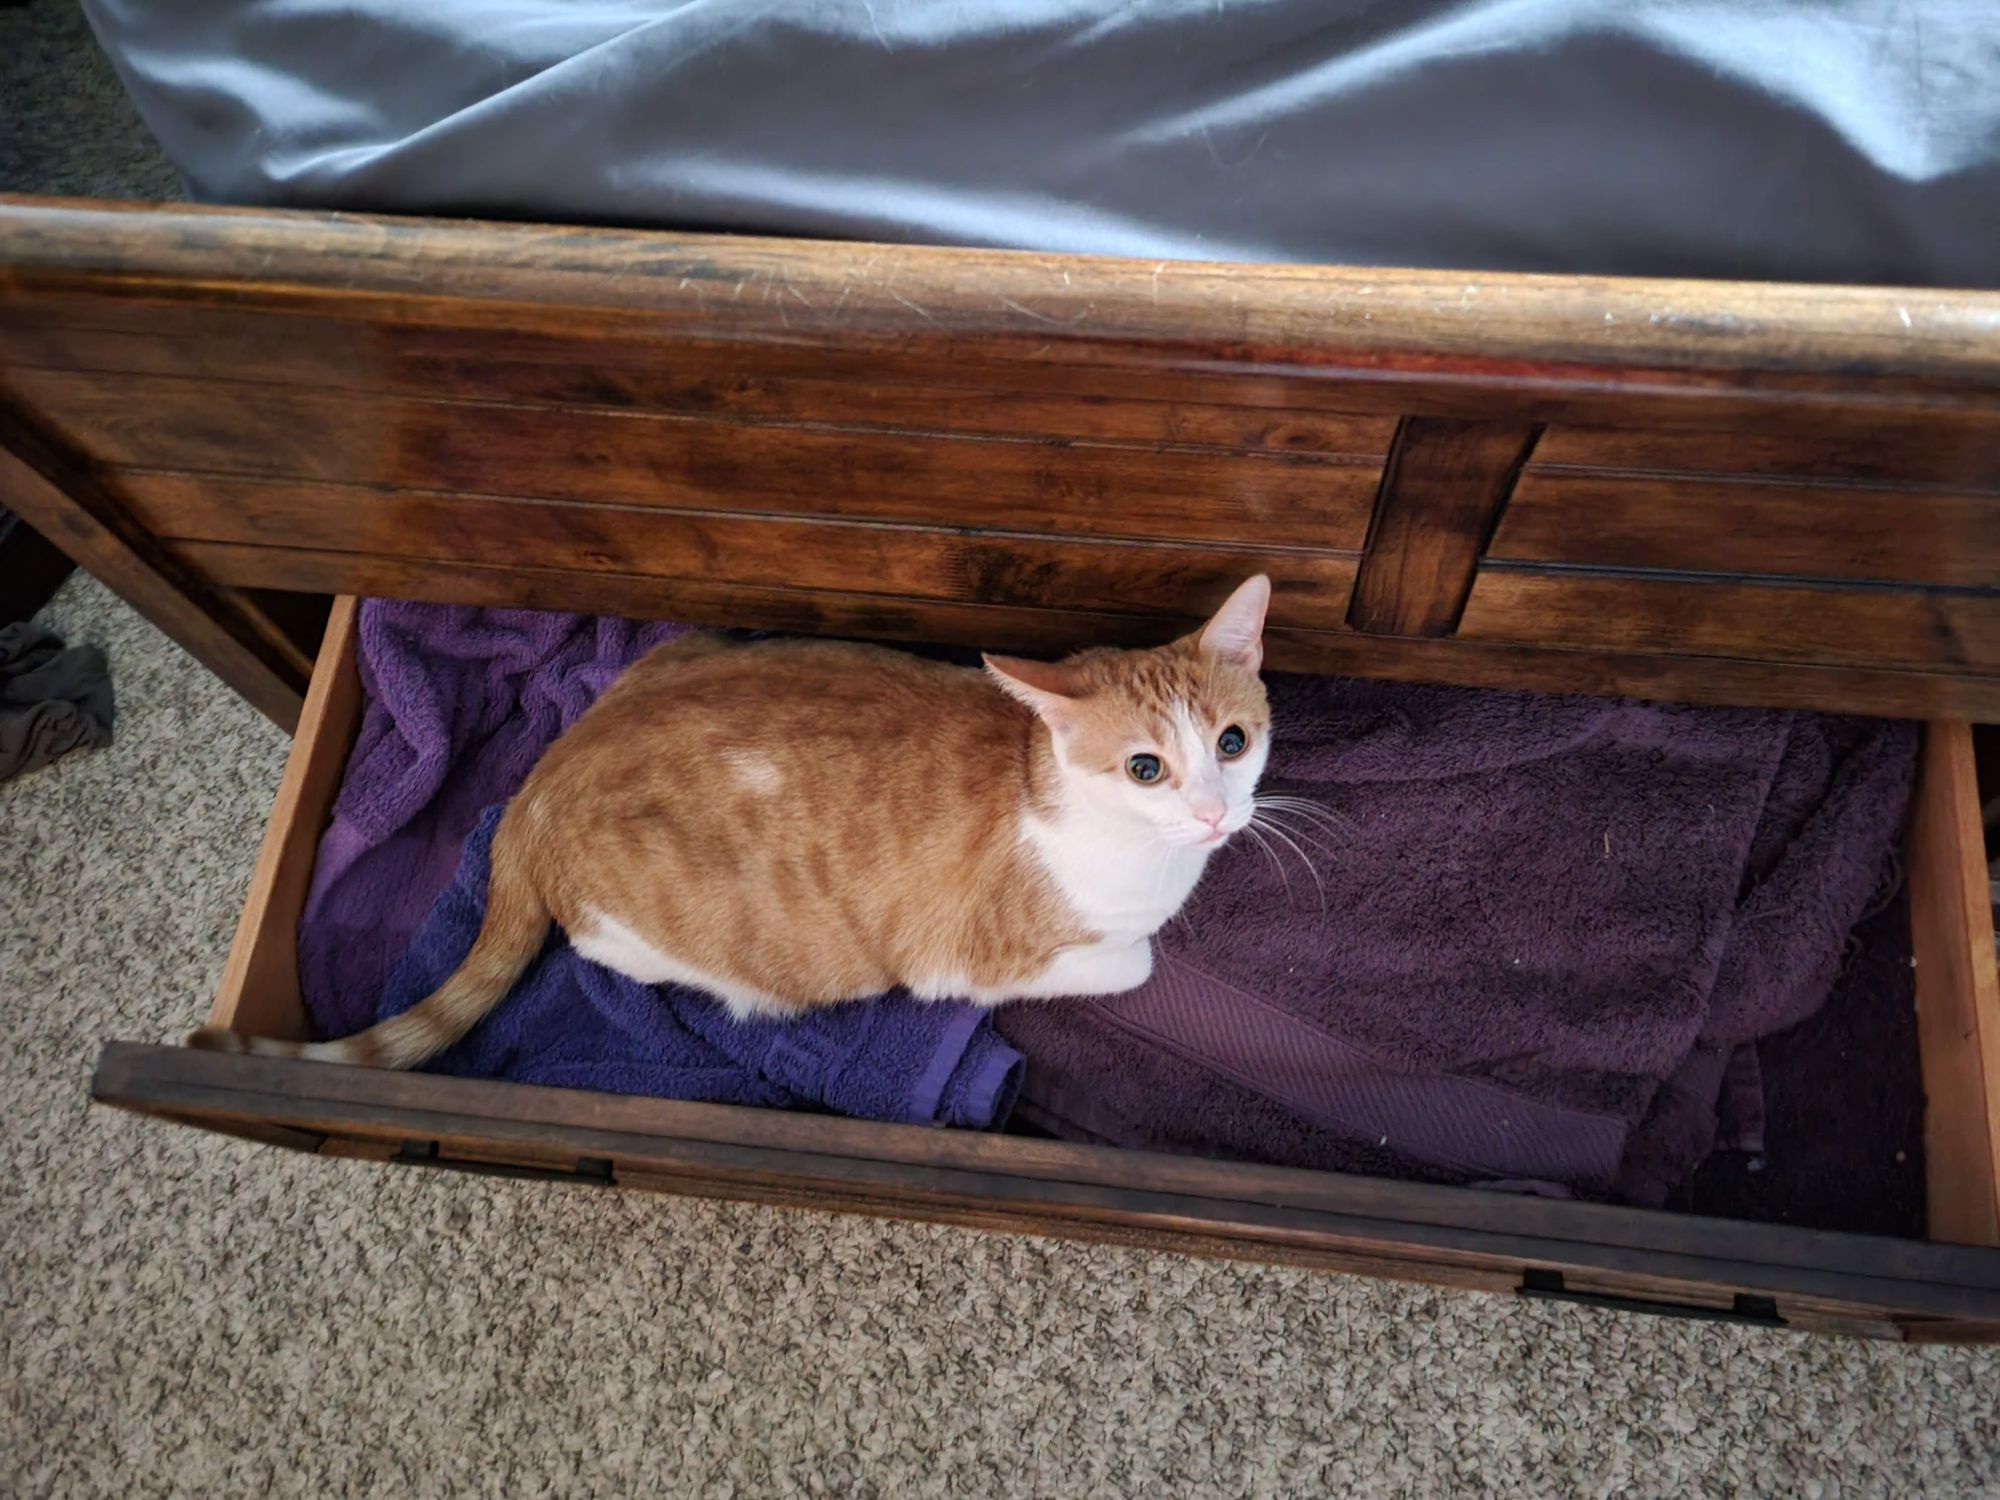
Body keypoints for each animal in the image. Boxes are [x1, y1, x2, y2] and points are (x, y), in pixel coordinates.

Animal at [195, 572, 1272, 1072]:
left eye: (1231, 742)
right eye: (1143, 768)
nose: (1215, 815)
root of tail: (534, 790)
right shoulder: (968, 963)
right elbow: (1135, 960)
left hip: (690, 645)